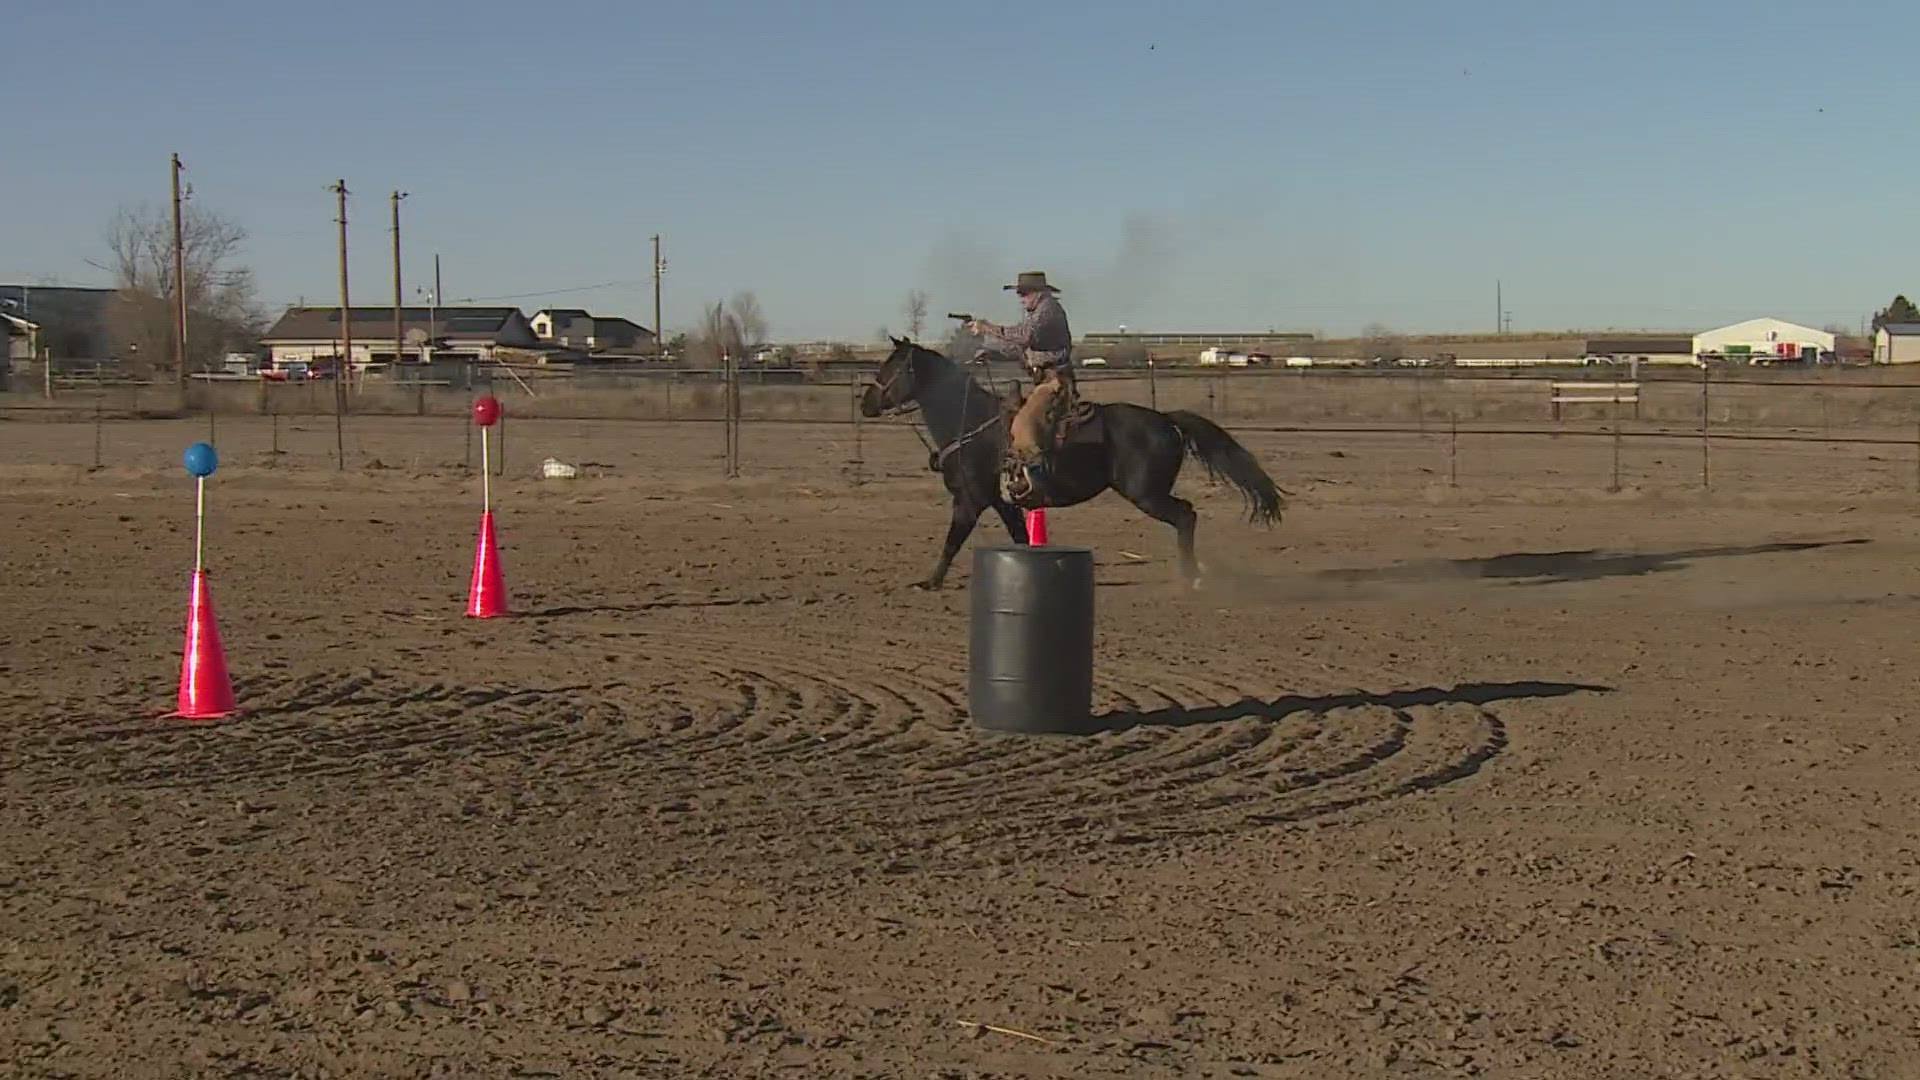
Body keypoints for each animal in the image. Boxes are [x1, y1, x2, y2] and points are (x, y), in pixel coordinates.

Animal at [860, 336, 1282, 588]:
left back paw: (1190, 576)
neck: (970, 423)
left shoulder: (969, 500)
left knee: (1186, 515)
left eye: (890, 368)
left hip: (1146, 493)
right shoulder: (1002, 501)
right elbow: (1020, 538)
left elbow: (951, 541)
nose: (865, 404)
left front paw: (929, 582)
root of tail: (1165, 419)